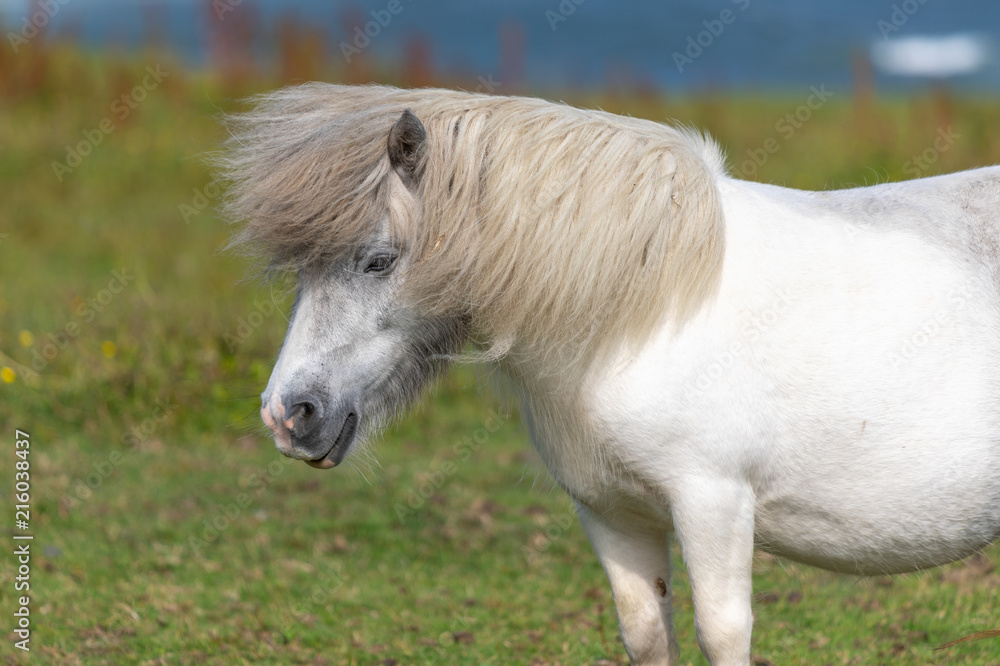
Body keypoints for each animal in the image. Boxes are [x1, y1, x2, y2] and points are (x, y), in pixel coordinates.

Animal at [220, 83, 1000, 665]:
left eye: (378, 260)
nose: (289, 414)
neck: (642, 313)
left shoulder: (714, 504)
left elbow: (723, 633)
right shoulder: (612, 514)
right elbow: (646, 632)